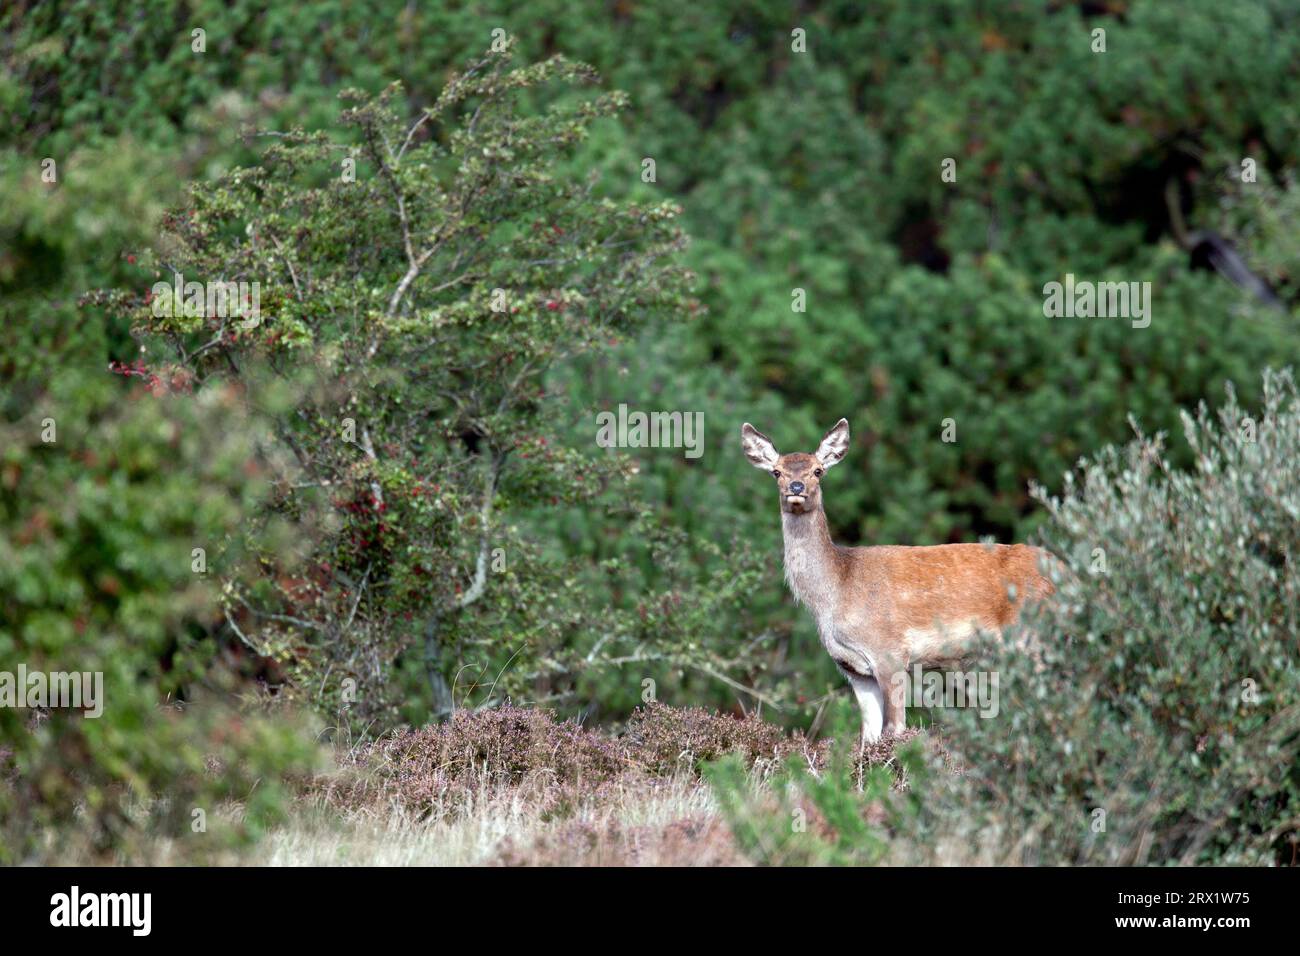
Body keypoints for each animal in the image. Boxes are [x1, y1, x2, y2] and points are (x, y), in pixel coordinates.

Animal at [743, 418, 1055, 749]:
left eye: (818, 470)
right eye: (777, 471)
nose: (796, 487)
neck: (836, 591)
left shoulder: (889, 652)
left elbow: (895, 728)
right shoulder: (854, 669)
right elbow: (869, 735)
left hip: (1031, 638)